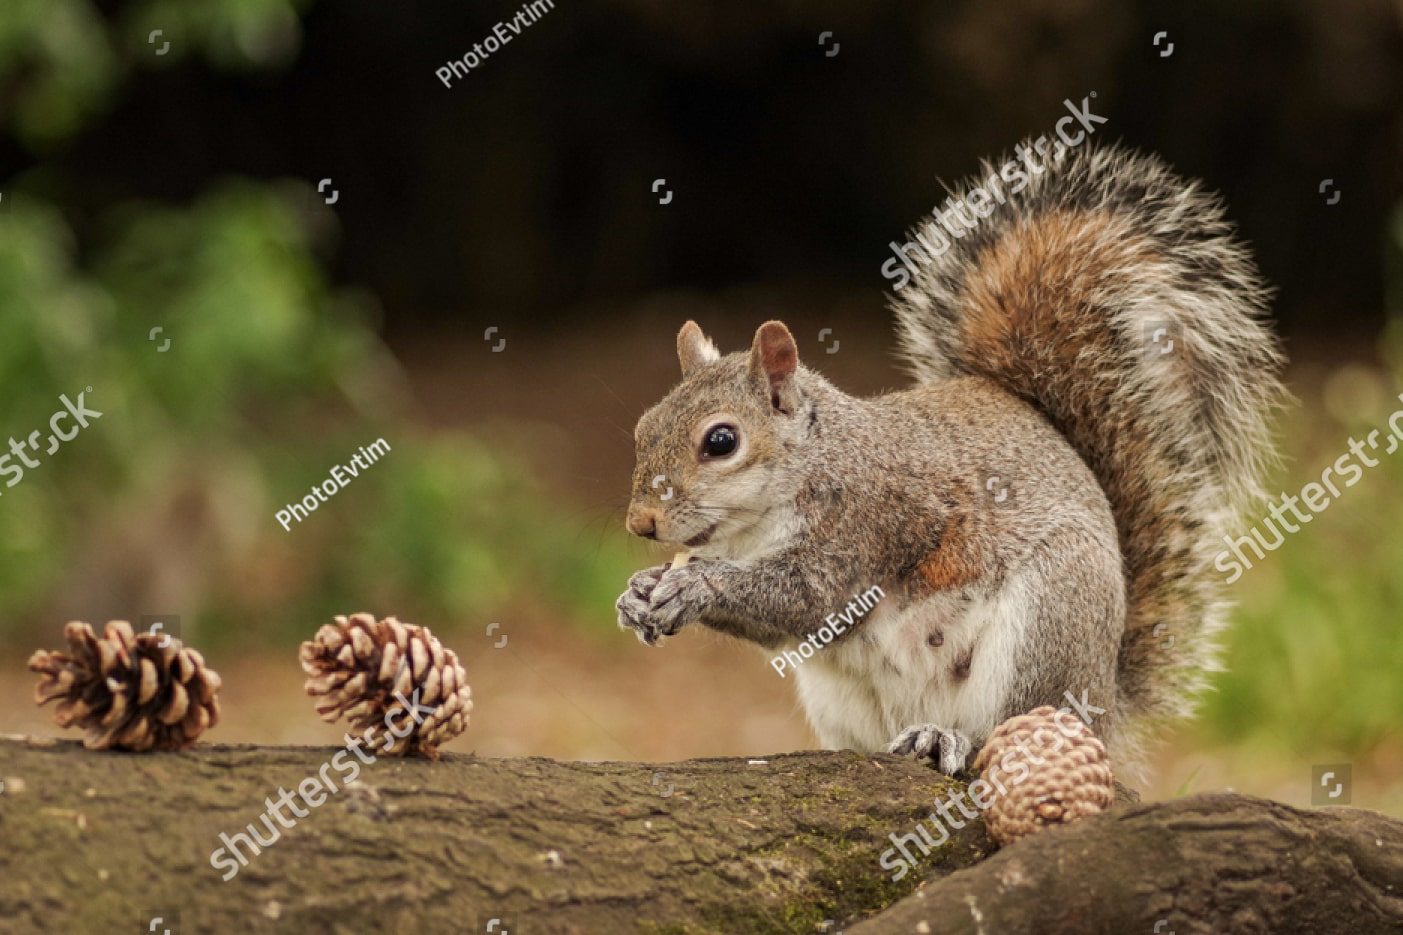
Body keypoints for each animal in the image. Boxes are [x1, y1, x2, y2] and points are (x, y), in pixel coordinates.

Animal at [615, 142, 1286, 774]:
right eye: (643, 427)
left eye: (720, 442)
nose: (640, 524)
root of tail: (1102, 706)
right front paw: (639, 591)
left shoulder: (870, 521)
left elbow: (808, 597)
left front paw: (694, 585)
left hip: (1049, 618)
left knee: (1016, 728)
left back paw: (949, 738)